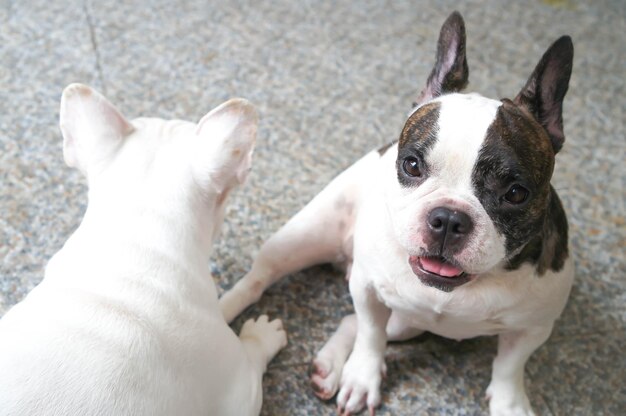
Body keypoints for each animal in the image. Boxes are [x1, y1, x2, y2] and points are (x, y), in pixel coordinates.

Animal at [218, 11, 572, 414]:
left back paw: (330, 365)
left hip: (407, 321)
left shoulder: (532, 329)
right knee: (258, 280)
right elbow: (372, 336)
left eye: (515, 193)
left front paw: (510, 404)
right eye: (412, 165)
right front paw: (362, 378)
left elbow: (510, 368)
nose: (449, 218)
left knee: (350, 321)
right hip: (303, 236)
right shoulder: (368, 288)